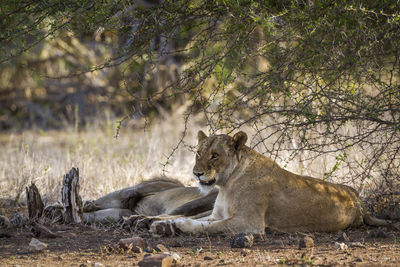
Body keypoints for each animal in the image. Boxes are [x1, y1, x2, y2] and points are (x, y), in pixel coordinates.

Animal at [149, 131, 388, 236]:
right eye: (198, 153)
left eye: (215, 155)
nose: (197, 173)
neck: (226, 185)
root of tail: (358, 200)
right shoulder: (218, 215)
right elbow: (200, 220)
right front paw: (165, 224)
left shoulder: (249, 224)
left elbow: (205, 227)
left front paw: (179, 226)